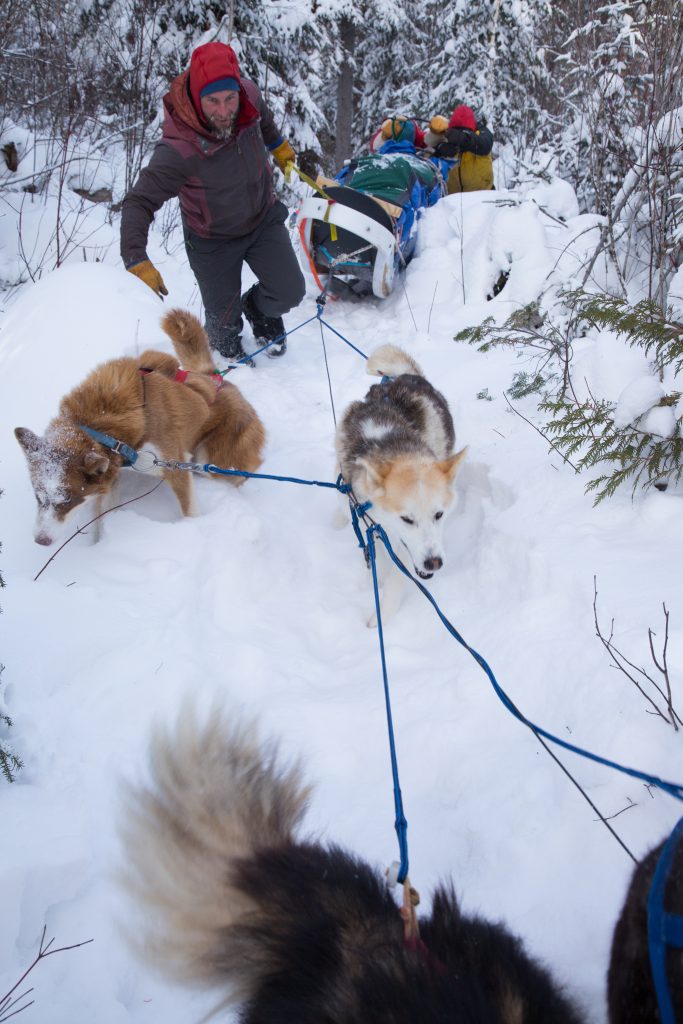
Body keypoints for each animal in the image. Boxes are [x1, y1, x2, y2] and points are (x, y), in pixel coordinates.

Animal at [14, 309, 264, 544]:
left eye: (67, 500)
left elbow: (190, 511)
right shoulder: (111, 475)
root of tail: (215, 378)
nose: (41, 540)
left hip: (213, 459)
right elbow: (103, 515)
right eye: (38, 497)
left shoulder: (173, 466)